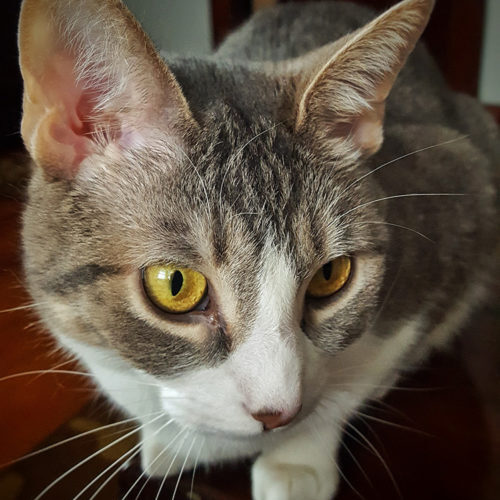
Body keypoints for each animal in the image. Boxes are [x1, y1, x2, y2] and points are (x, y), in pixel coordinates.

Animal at [17, 0, 498, 498]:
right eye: (175, 285)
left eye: (330, 276)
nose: (277, 413)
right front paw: (171, 440)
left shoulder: (455, 190)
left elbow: (350, 382)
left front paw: (297, 459)